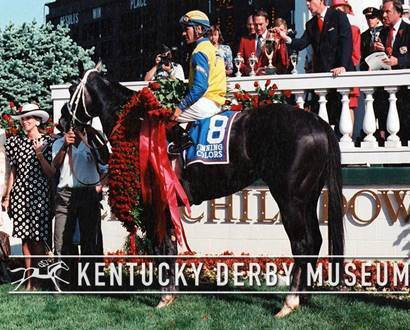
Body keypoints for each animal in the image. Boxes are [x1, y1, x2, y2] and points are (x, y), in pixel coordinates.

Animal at [60, 62, 342, 318]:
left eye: (72, 89)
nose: (62, 121)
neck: (135, 124)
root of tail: (317, 121)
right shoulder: (166, 206)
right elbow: (170, 249)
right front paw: (171, 295)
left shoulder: (153, 206)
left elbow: (160, 248)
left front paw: (164, 298)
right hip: (308, 198)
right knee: (315, 240)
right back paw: (304, 297)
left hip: (289, 199)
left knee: (302, 243)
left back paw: (289, 302)